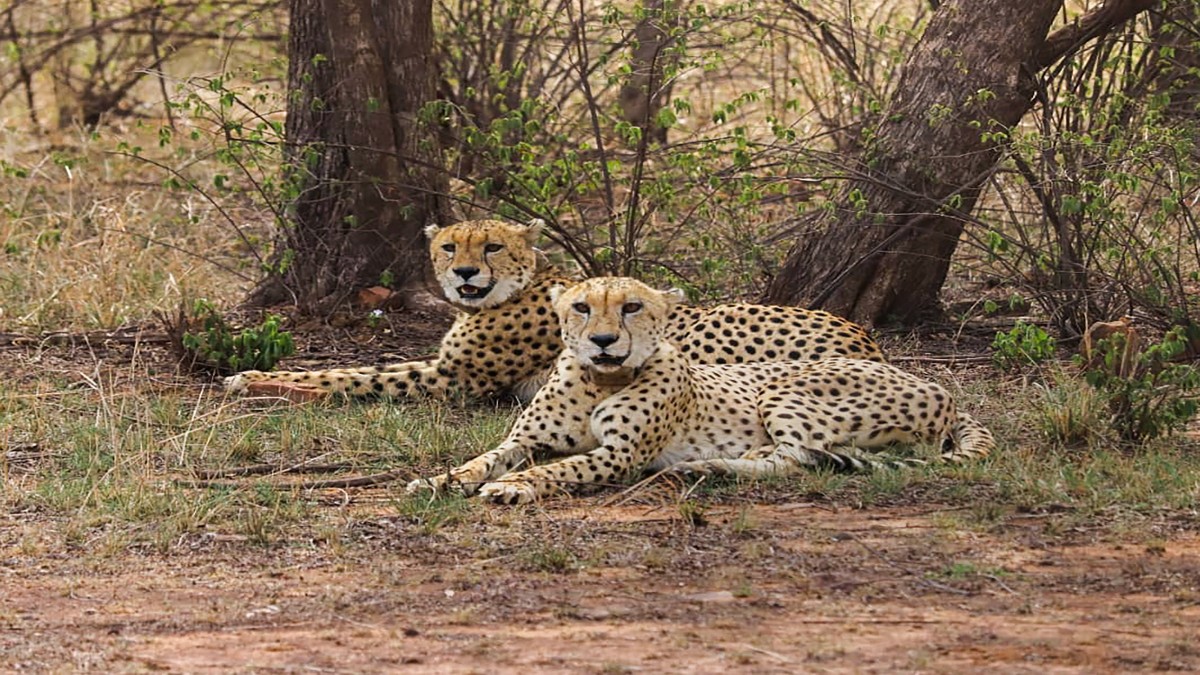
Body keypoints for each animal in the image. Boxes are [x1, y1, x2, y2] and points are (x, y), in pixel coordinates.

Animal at [225, 218, 883, 402]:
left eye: (491, 246)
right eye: (450, 247)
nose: (465, 274)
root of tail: (864, 337)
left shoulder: (455, 380)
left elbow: (353, 376)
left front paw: (254, 379)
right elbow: (361, 368)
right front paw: (253, 375)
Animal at [407, 276, 995, 504]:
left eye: (632, 307)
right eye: (581, 307)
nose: (602, 341)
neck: (599, 380)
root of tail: (935, 385)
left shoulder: (619, 455)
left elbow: (559, 468)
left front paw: (514, 486)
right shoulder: (525, 439)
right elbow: (484, 459)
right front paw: (439, 480)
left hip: (784, 388)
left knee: (797, 459)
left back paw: (709, 466)